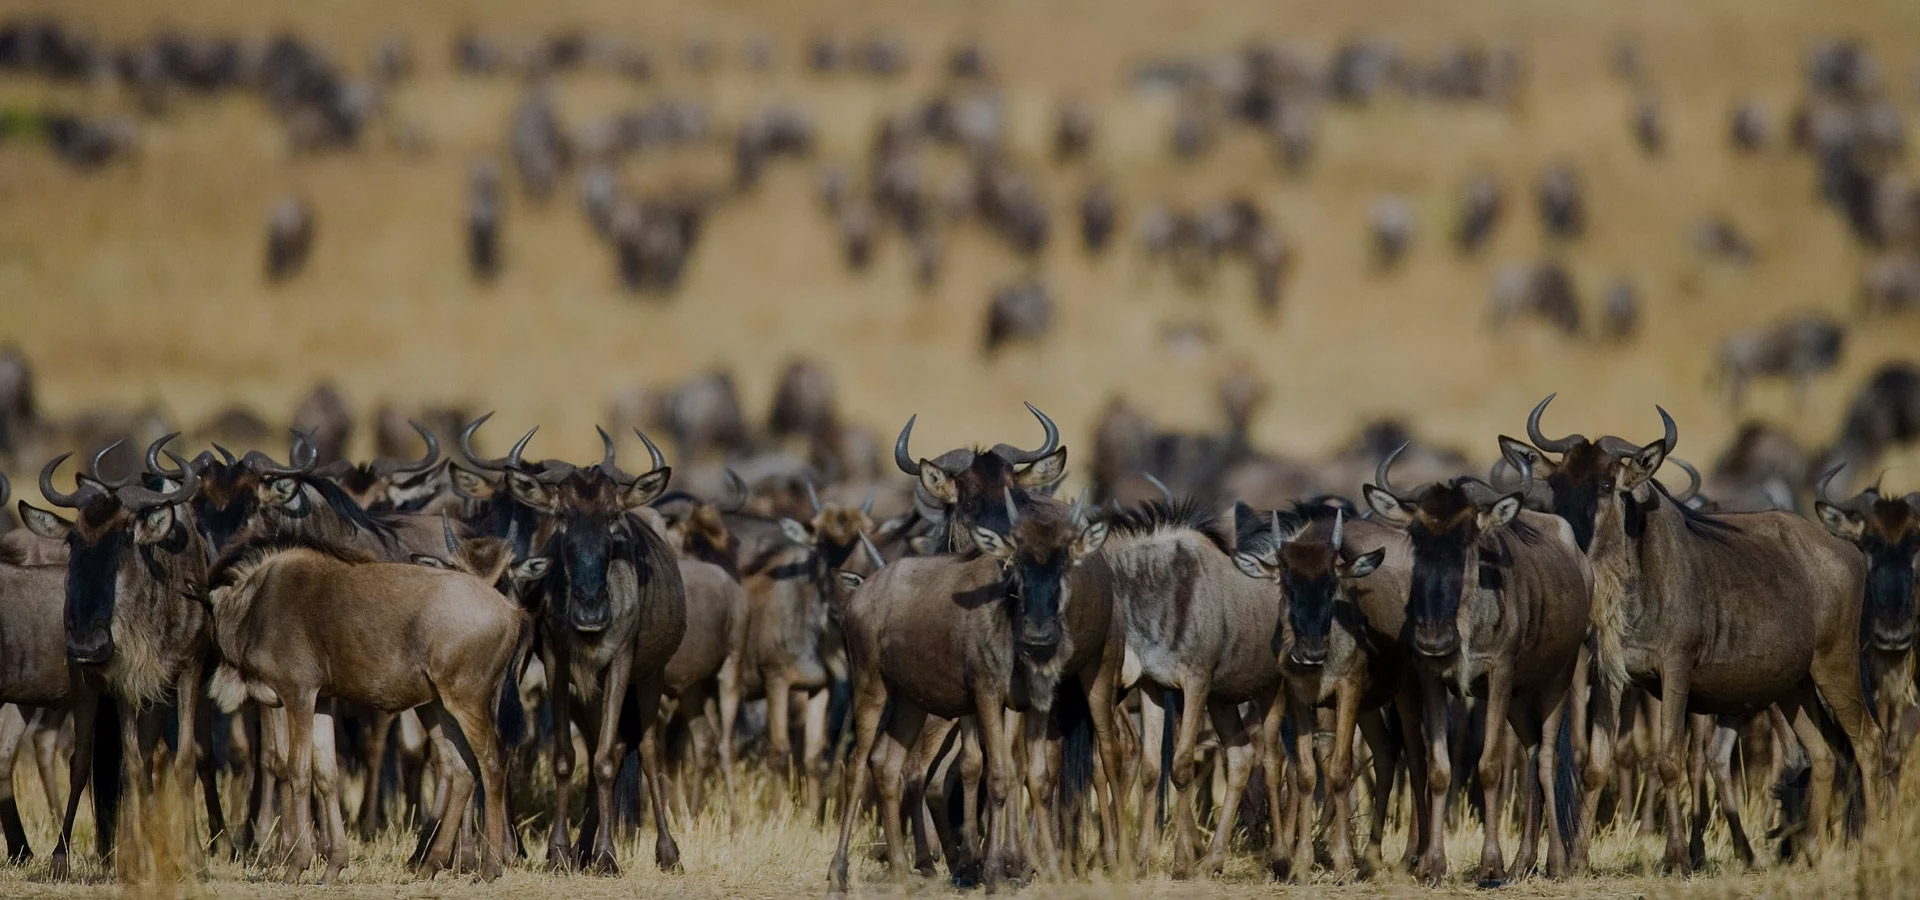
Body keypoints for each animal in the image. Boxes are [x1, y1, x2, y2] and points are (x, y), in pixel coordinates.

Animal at [1511, 396, 1886, 872]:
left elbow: (1670, 760)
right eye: (1559, 485)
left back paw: (1871, 844)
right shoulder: (1610, 675)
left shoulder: (1676, 671)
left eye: (1606, 485)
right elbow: (1596, 763)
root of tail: (1848, 551)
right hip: (1794, 686)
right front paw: (1577, 860)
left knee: (1867, 740)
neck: (1633, 581)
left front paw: (1676, 857)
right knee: (1822, 754)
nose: (1571, 539)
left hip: (1834, 666)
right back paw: (1811, 854)